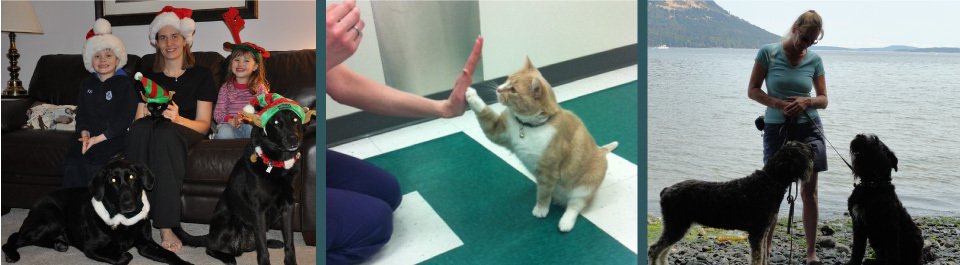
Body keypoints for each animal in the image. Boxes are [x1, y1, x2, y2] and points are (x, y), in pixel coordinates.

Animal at [1, 158, 193, 262]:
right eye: (113, 181)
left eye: (132, 177)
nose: (128, 204)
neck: (124, 222)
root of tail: (35, 203)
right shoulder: (91, 249)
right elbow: (125, 256)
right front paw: (121, 251)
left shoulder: (147, 244)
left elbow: (172, 256)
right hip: (51, 220)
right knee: (14, 238)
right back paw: (12, 254)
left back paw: (59, 244)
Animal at [174, 93, 314, 264]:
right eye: (276, 123)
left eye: (295, 120)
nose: (294, 139)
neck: (276, 163)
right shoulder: (258, 210)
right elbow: (262, 248)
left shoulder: (288, 206)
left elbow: (289, 242)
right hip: (228, 222)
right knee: (210, 247)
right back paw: (227, 257)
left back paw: (272, 242)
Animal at [466, 57, 620, 231]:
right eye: (507, 79)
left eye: (513, 90)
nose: (498, 89)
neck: (527, 127)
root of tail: (601, 151)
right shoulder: (498, 131)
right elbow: (484, 113)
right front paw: (471, 95)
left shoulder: (548, 170)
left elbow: (543, 193)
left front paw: (541, 209)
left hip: (585, 187)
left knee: (575, 205)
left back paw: (565, 222)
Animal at [648, 140, 812, 264]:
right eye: (803, 150)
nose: (813, 147)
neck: (770, 180)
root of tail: (666, 190)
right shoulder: (757, 233)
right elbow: (757, 258)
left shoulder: (763, 232)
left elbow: (763, 256)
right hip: (676, 226)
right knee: (654, 250)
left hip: (677, 228)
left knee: (663, 251)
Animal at [848, 134, 924, 264]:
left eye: (875, 140)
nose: (859, 135)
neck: (872, 185)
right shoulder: (858, 225)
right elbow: (857, 250)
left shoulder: (890, 229)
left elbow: (892, 254)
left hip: (915, 239)